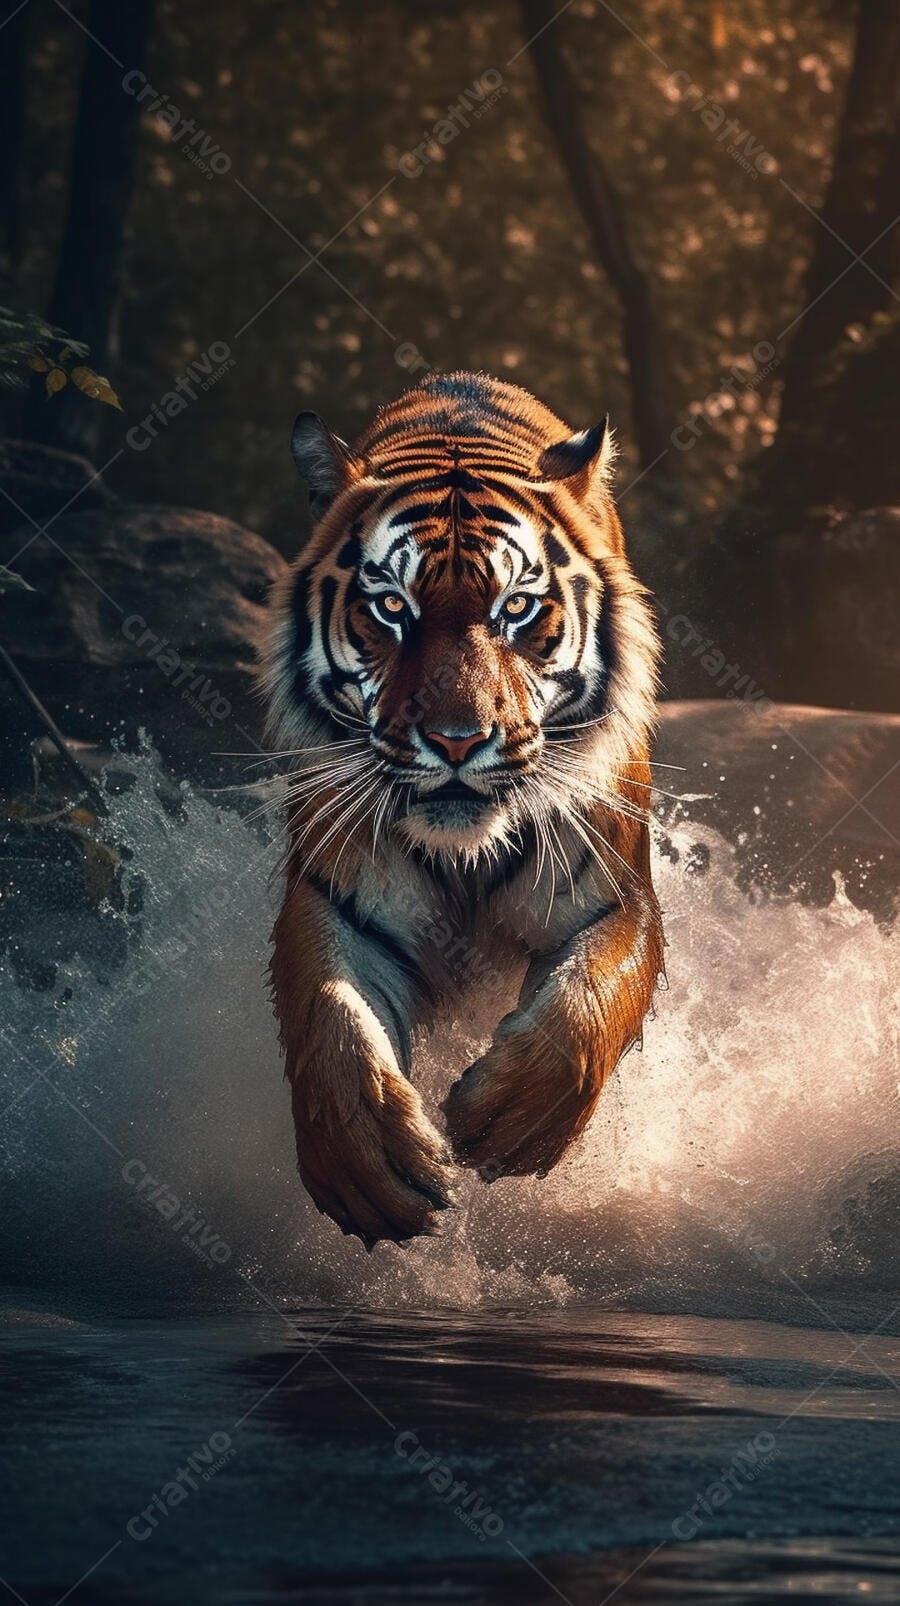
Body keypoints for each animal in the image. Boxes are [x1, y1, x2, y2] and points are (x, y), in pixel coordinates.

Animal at [262, 371, 664, 1249]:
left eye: (516, 609)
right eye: (390, 609)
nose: (456, 740)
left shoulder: (617, 895)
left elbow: (587, 1008)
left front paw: (507, 1122)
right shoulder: (334, 897)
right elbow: (330, 1019)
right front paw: (365, 1161)